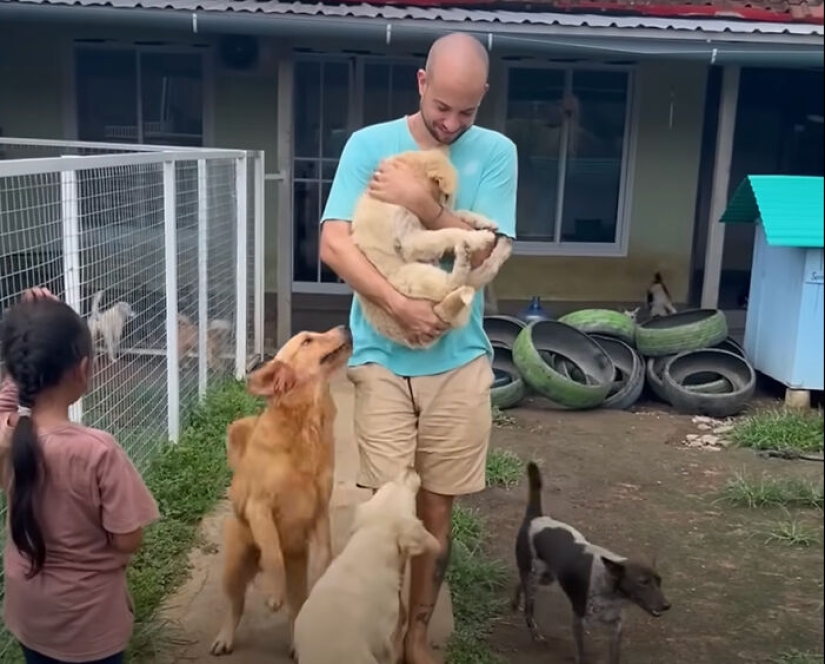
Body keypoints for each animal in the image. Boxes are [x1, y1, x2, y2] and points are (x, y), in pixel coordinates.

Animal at [209, 324, 350, 656]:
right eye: (307, 340)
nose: (344, 326)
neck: (305, 426)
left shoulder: (320, 509)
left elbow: (325, 552)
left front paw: (322, 574)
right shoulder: (258, 507)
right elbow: (272, 552)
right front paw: (274, 593)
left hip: (295, 574)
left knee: (296, 611)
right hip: (234, 566)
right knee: (235, 605)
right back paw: (225, 638)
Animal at [350, 148, 512, 350]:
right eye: (447, 196)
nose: (445, 209)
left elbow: (458, 215)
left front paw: (483, 221)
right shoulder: (410, 240)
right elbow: (449, 232)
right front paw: (478, 237)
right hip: (412, 276)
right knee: (451, 285)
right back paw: (465, 257)